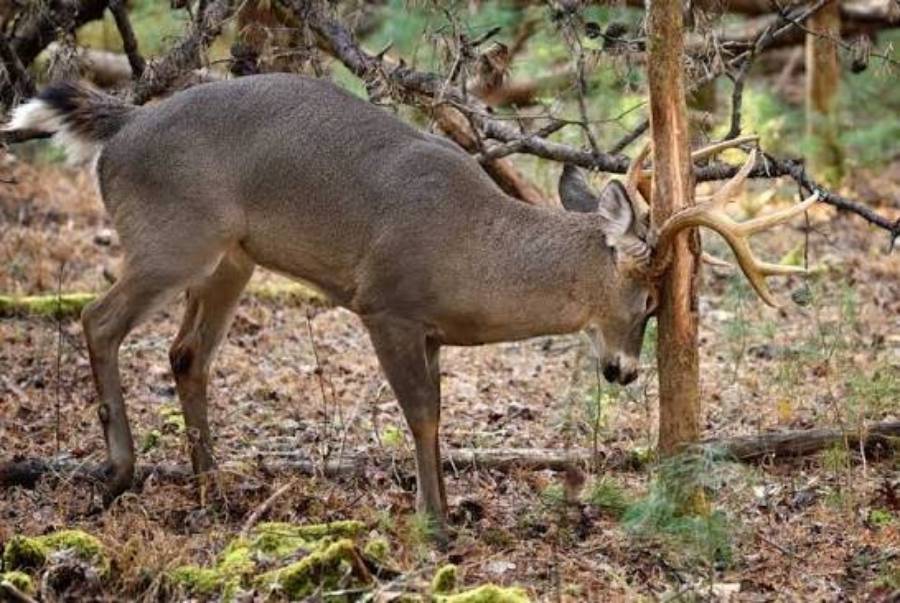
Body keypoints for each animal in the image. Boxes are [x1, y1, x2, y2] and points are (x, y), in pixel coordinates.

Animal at [6, 74, 817, 533]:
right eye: (647, 296)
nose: (624, 372)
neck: (471, 251)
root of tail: (121, 129)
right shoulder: (386, 303)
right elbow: (420, 411)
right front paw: (436, 523)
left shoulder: (430, 330)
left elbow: (438, 413)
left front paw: (447, 508)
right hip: (173, 240)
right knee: (96, 319)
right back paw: (118, 473)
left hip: (231, 258)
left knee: (184, 354)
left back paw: (211, 492)